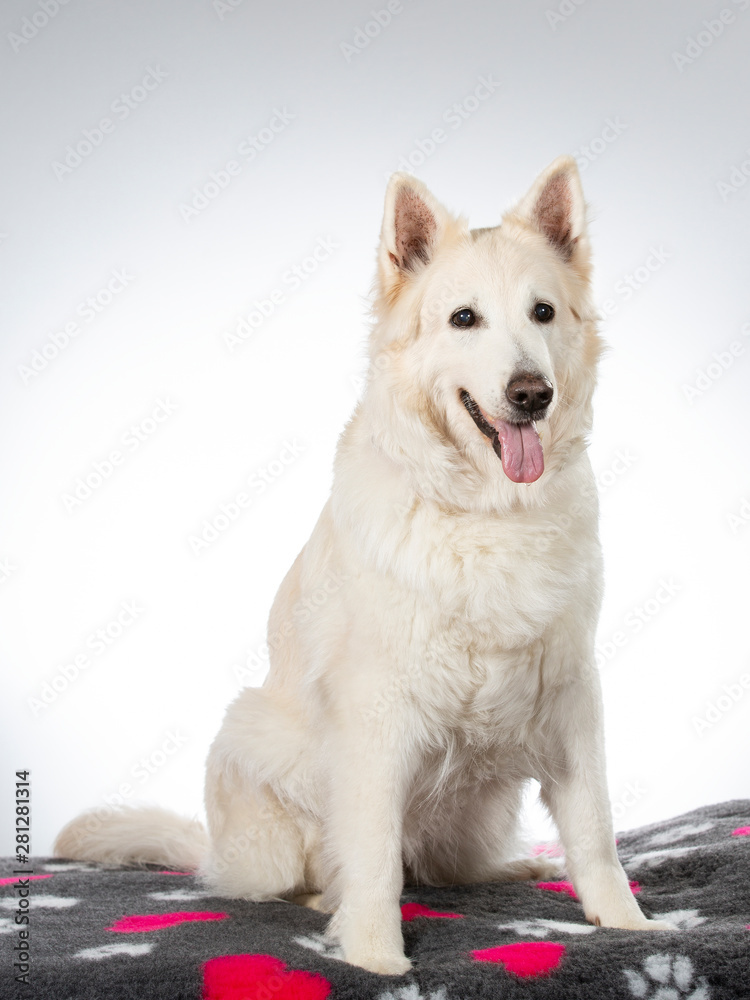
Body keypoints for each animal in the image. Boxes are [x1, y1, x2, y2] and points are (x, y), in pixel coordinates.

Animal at [55, 160, 672, 972]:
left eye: (542, 312)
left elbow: (597, 831)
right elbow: (375, 858)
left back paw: (517, 866)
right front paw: (376, 957)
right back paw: (325, 905)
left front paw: (626, 926)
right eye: (464, 319)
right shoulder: (378, 716)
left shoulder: (569, 694)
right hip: (254, 749)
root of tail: (214, 854)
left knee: (448, 867)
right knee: (306, 876)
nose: (531, 395)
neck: (487, 516)